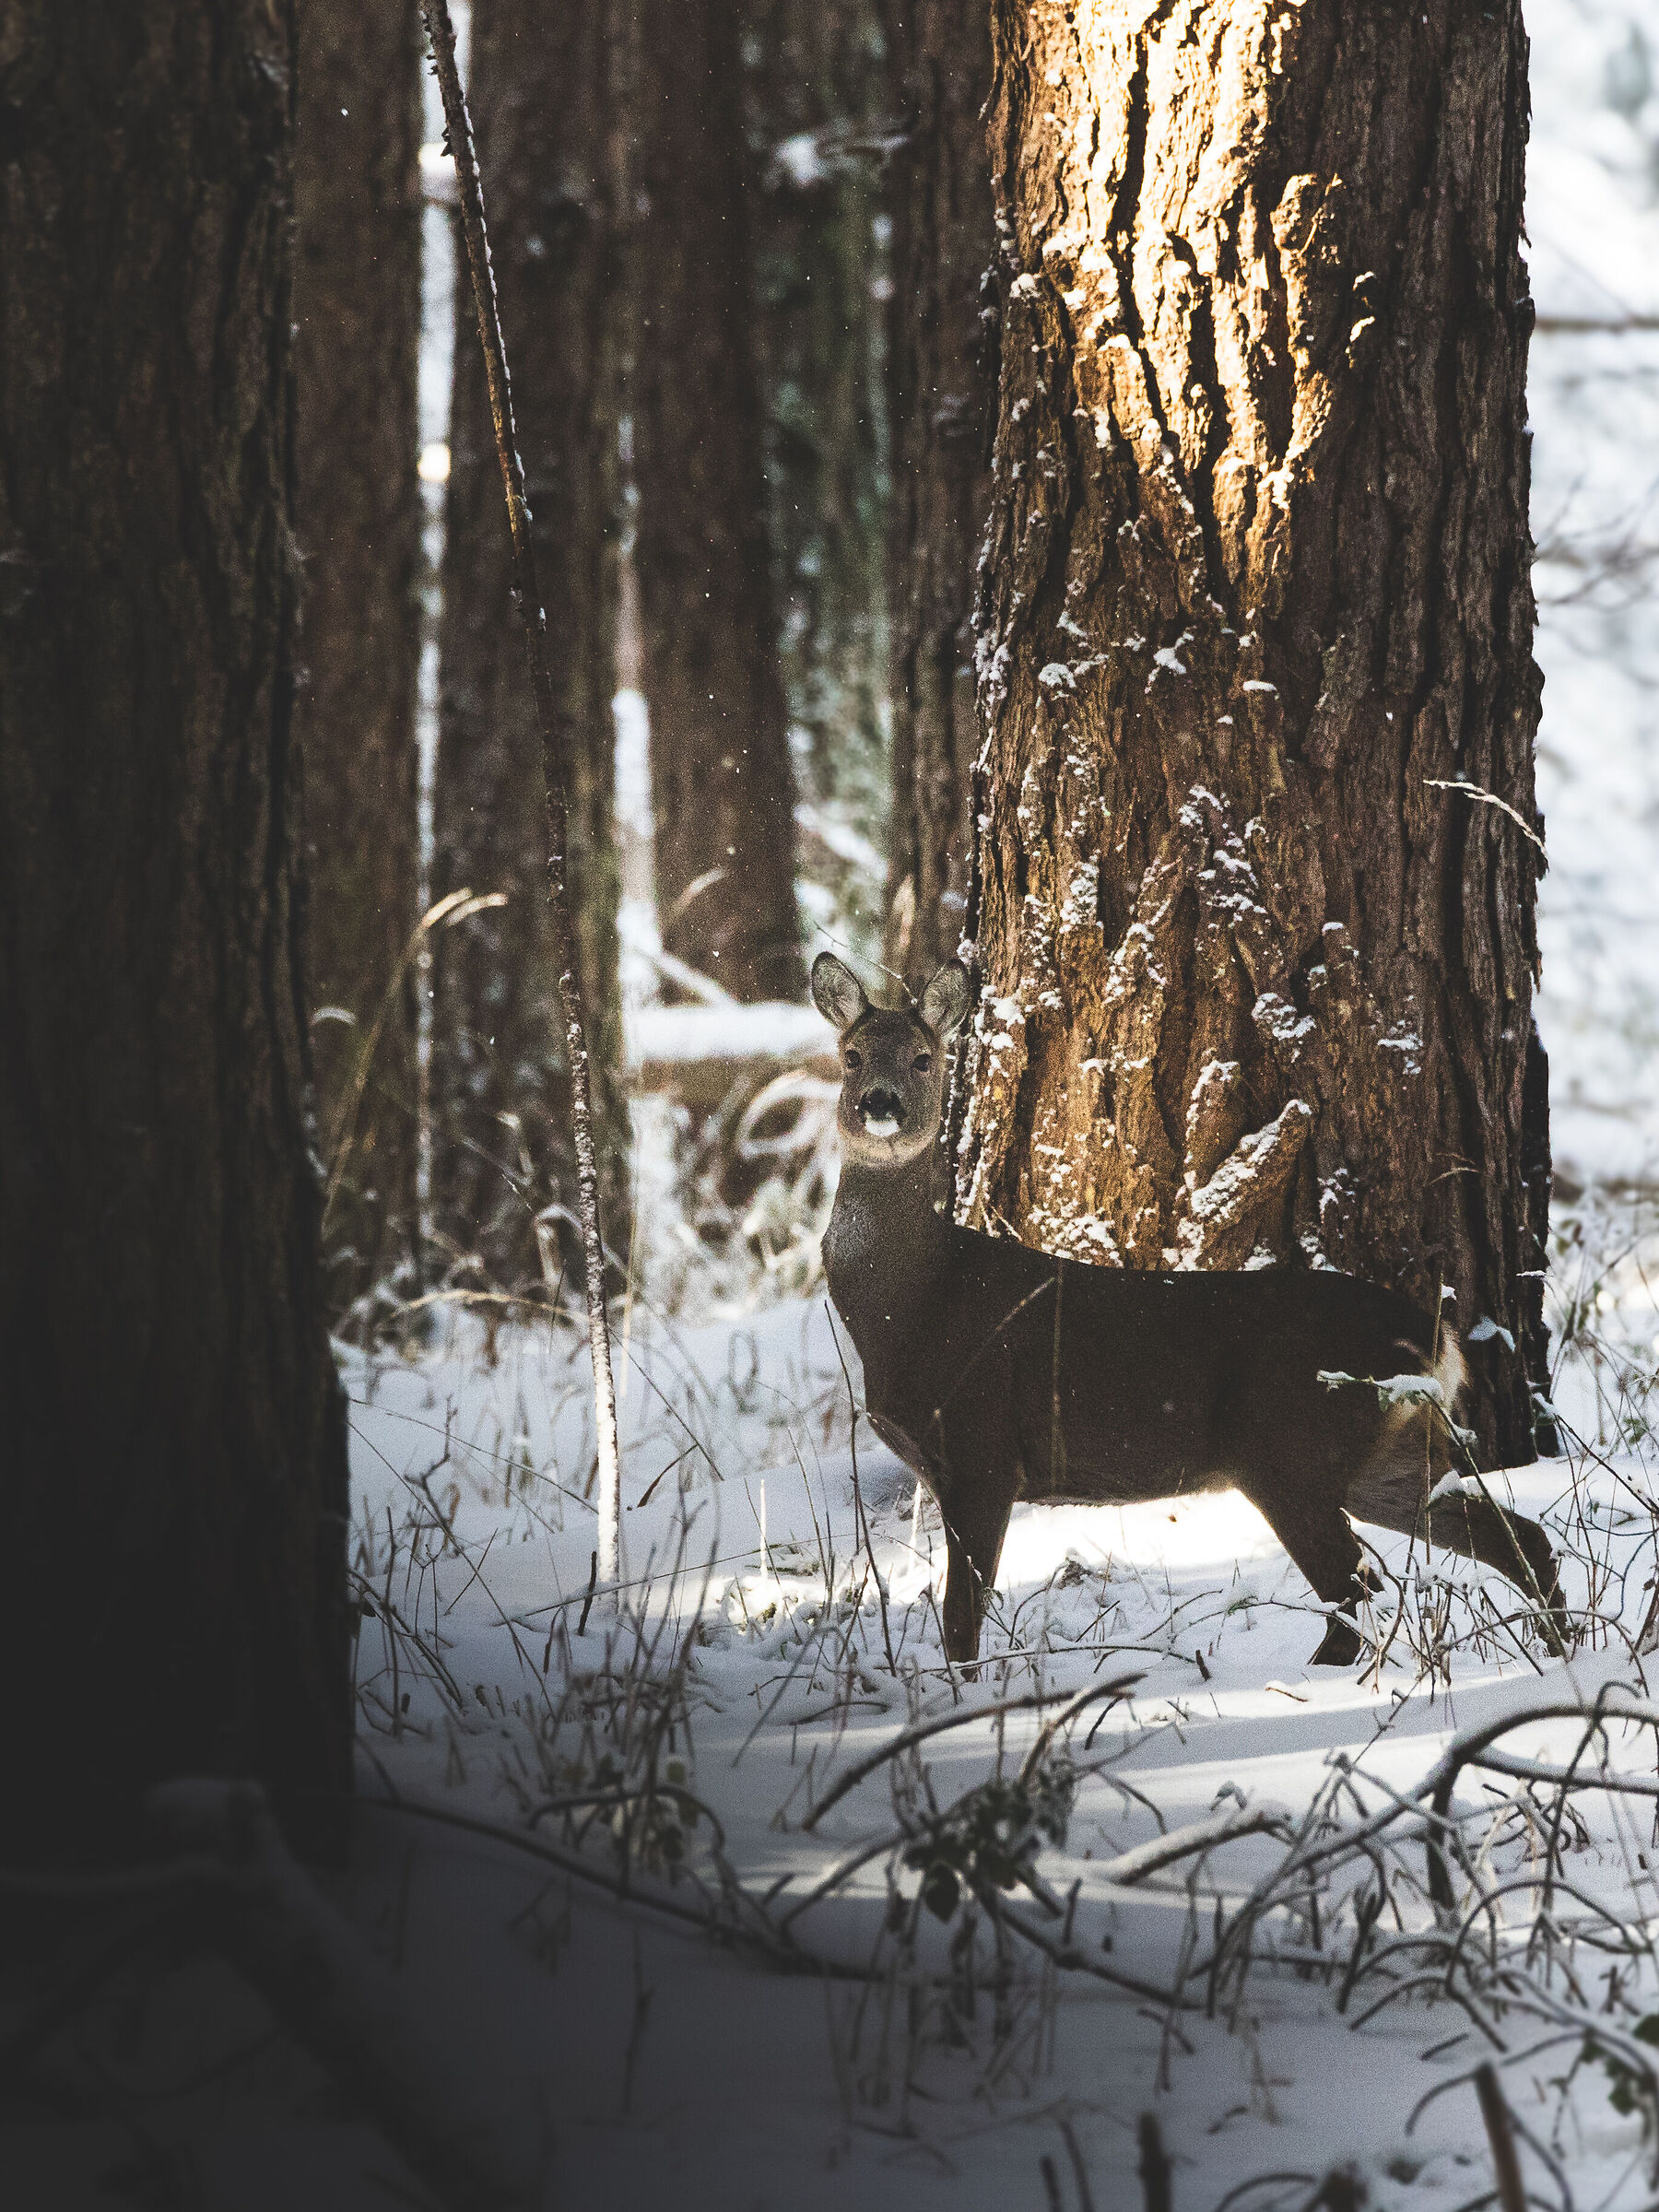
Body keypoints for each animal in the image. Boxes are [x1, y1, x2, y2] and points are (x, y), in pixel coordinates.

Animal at [811, 951, 1566, 1671]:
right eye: (850, 1054)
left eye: (923, 1057)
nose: (879, 1102)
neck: (914, 1304)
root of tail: (1430, 1340)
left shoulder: (982, 1446)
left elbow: (961, 1620)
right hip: (1394, 1453)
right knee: (1514, 1539)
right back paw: (1563, 1648)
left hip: (1288, 1443)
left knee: (1354, 1586)